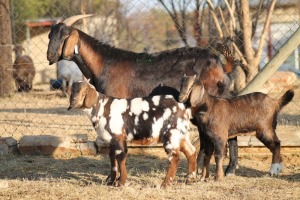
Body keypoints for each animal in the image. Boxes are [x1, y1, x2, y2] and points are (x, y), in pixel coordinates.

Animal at [46, 15, 239, 175]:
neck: (104, 64)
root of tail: (221, 65)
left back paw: (226, 169)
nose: (50, 55)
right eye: (50, 36)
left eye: (64, 36)